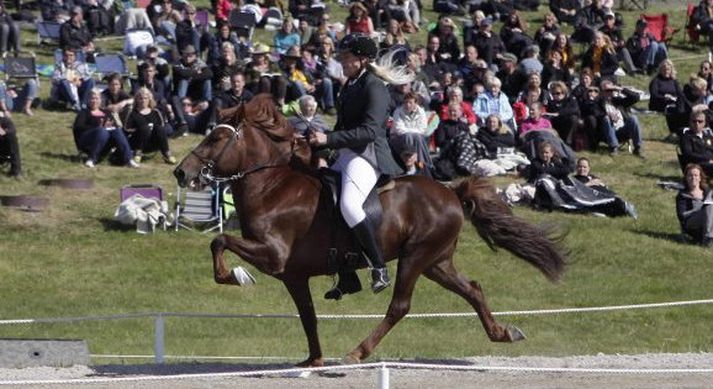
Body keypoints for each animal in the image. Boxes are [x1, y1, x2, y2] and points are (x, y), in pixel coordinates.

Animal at [172, 94, 568, 366]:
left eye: (214, 140)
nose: (180, 173)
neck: (272, 187)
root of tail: (451, 192)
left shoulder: (273, 255)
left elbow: (220, 240)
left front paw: (236, 276)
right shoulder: (293, 275)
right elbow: (308, 317)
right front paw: (313, 360)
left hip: (416, 257)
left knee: (399, 306)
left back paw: (358, 352)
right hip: (437, 261)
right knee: (472, 289)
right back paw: (503, 333)